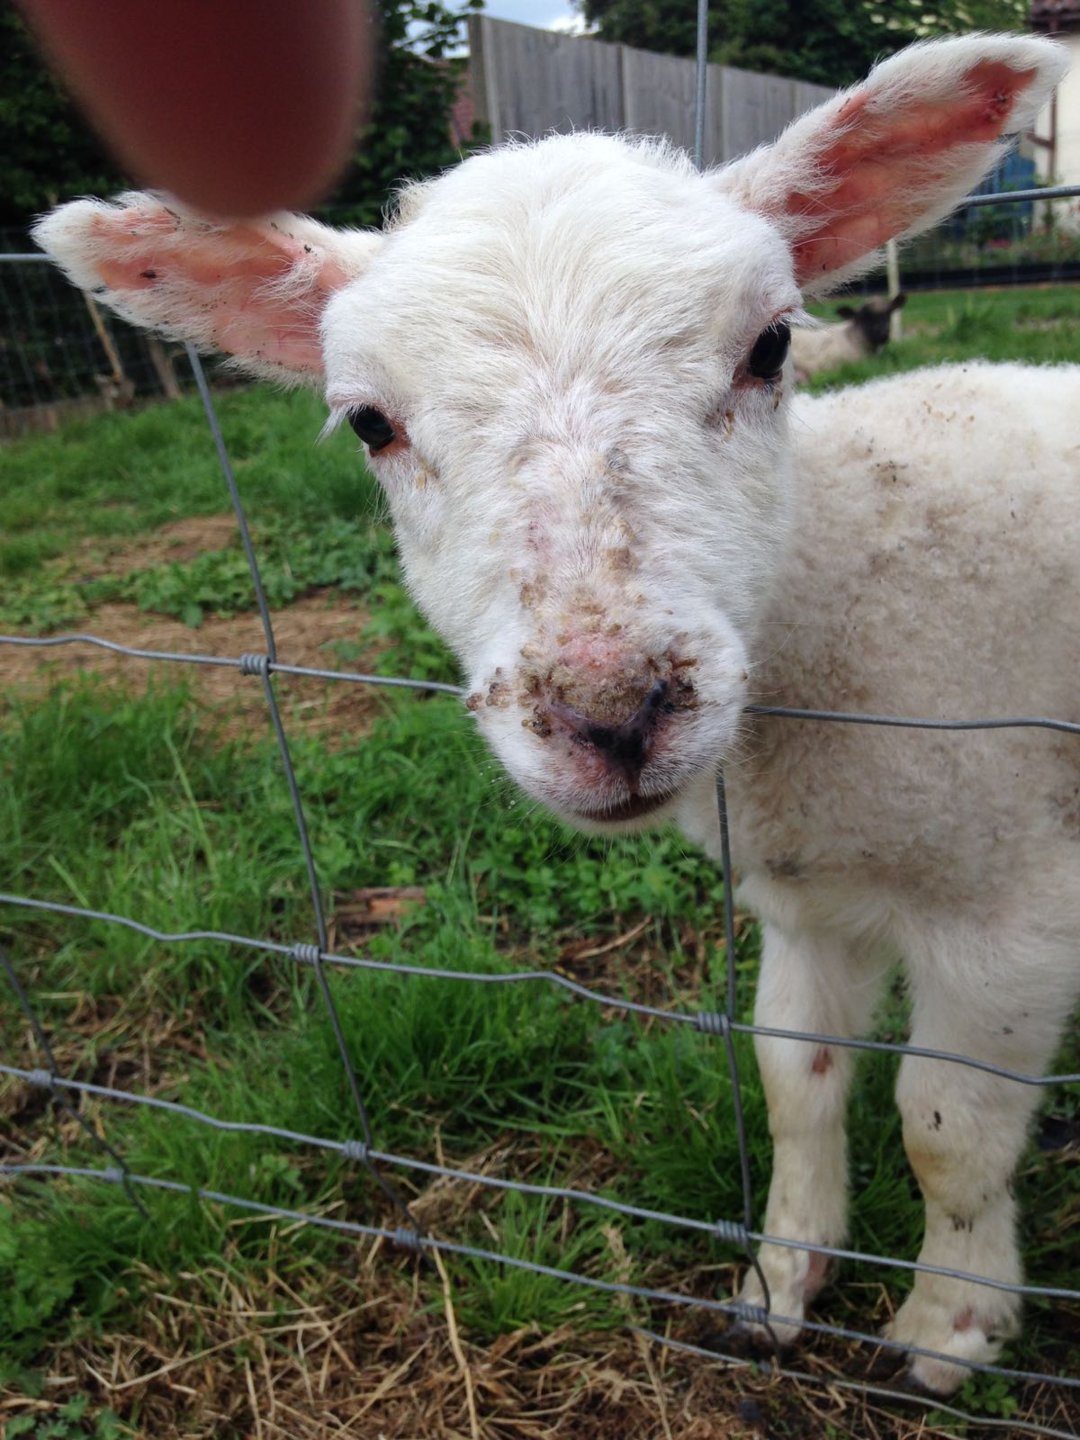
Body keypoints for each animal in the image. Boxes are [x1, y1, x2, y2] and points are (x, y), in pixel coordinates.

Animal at [33, 34, 1078, 1396]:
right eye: (369, 421)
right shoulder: (808, 899)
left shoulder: (1010, 902)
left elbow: (946, 1129)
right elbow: (794, 1085)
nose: (613, 713)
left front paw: (947, 1331)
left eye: (771, 349)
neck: (839, 594)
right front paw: (776, 1292)